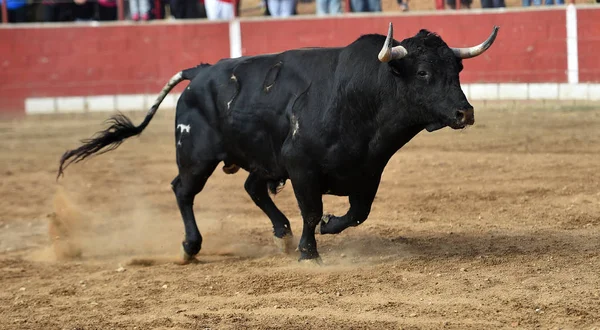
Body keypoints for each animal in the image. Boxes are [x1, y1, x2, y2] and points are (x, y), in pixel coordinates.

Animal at [56, 23, 500, 264]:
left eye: (457, 69)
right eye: (423, 72)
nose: (464, 113)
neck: (360, 96)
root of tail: (201, 72)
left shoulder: (367, 172)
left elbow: (356, 214)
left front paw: (326, 228)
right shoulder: (301, 166)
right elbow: (311, 210)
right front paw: (309, 251)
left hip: (258, 158)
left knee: (252, 187)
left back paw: (281, 233)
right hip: (196, 157)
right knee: (183, 190)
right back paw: (191, 246)